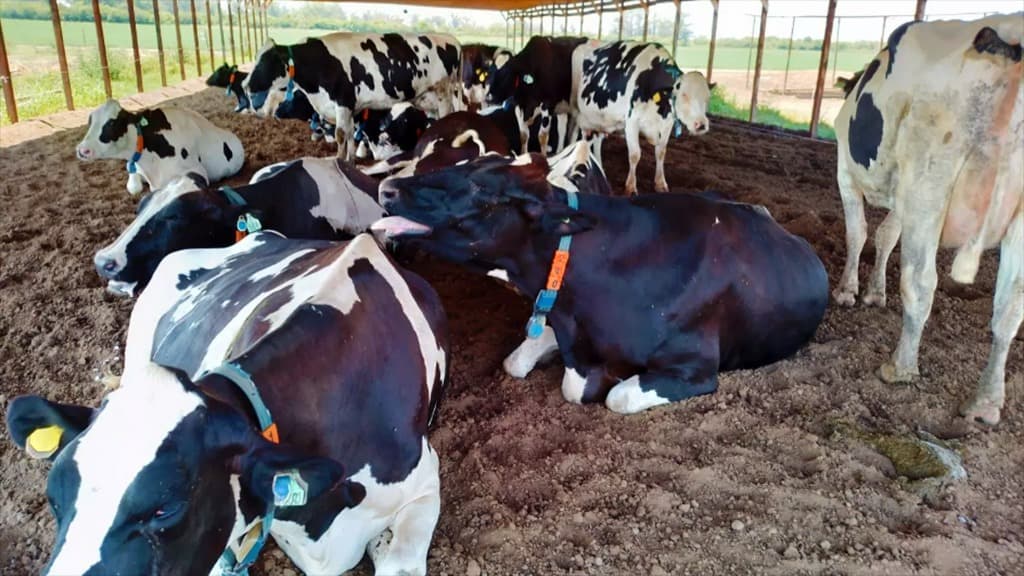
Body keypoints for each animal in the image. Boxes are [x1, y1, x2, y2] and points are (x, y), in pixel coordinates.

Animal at [244, 34, 462, 161]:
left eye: (267, 60)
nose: (245, 84)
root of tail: (452, 40)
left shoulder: (343, 101)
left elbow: (341, 134)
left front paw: (339, 162)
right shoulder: (350, 108)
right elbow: (350, 134)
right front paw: (350, 163)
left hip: (443, 92)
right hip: (426, 98)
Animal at [572, 41, 712, 195]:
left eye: (707, 97)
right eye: (684, 95)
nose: (701, 125)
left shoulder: (667, 123)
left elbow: (661, 152)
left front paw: (660, 183)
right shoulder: (632, 122)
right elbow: (635, 155)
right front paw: (631, 187)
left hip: (600, 119)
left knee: (594, 140)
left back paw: (600, 168)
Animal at [832, 15, 1023, 425]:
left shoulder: (845, 170)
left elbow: (859, 232)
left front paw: (847, 290)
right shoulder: (901, 195)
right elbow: (886, 235)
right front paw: (874, 293)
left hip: (930, 184)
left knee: (920, 283)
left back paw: (900, 367)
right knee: (1009, 308)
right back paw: (985, 401)